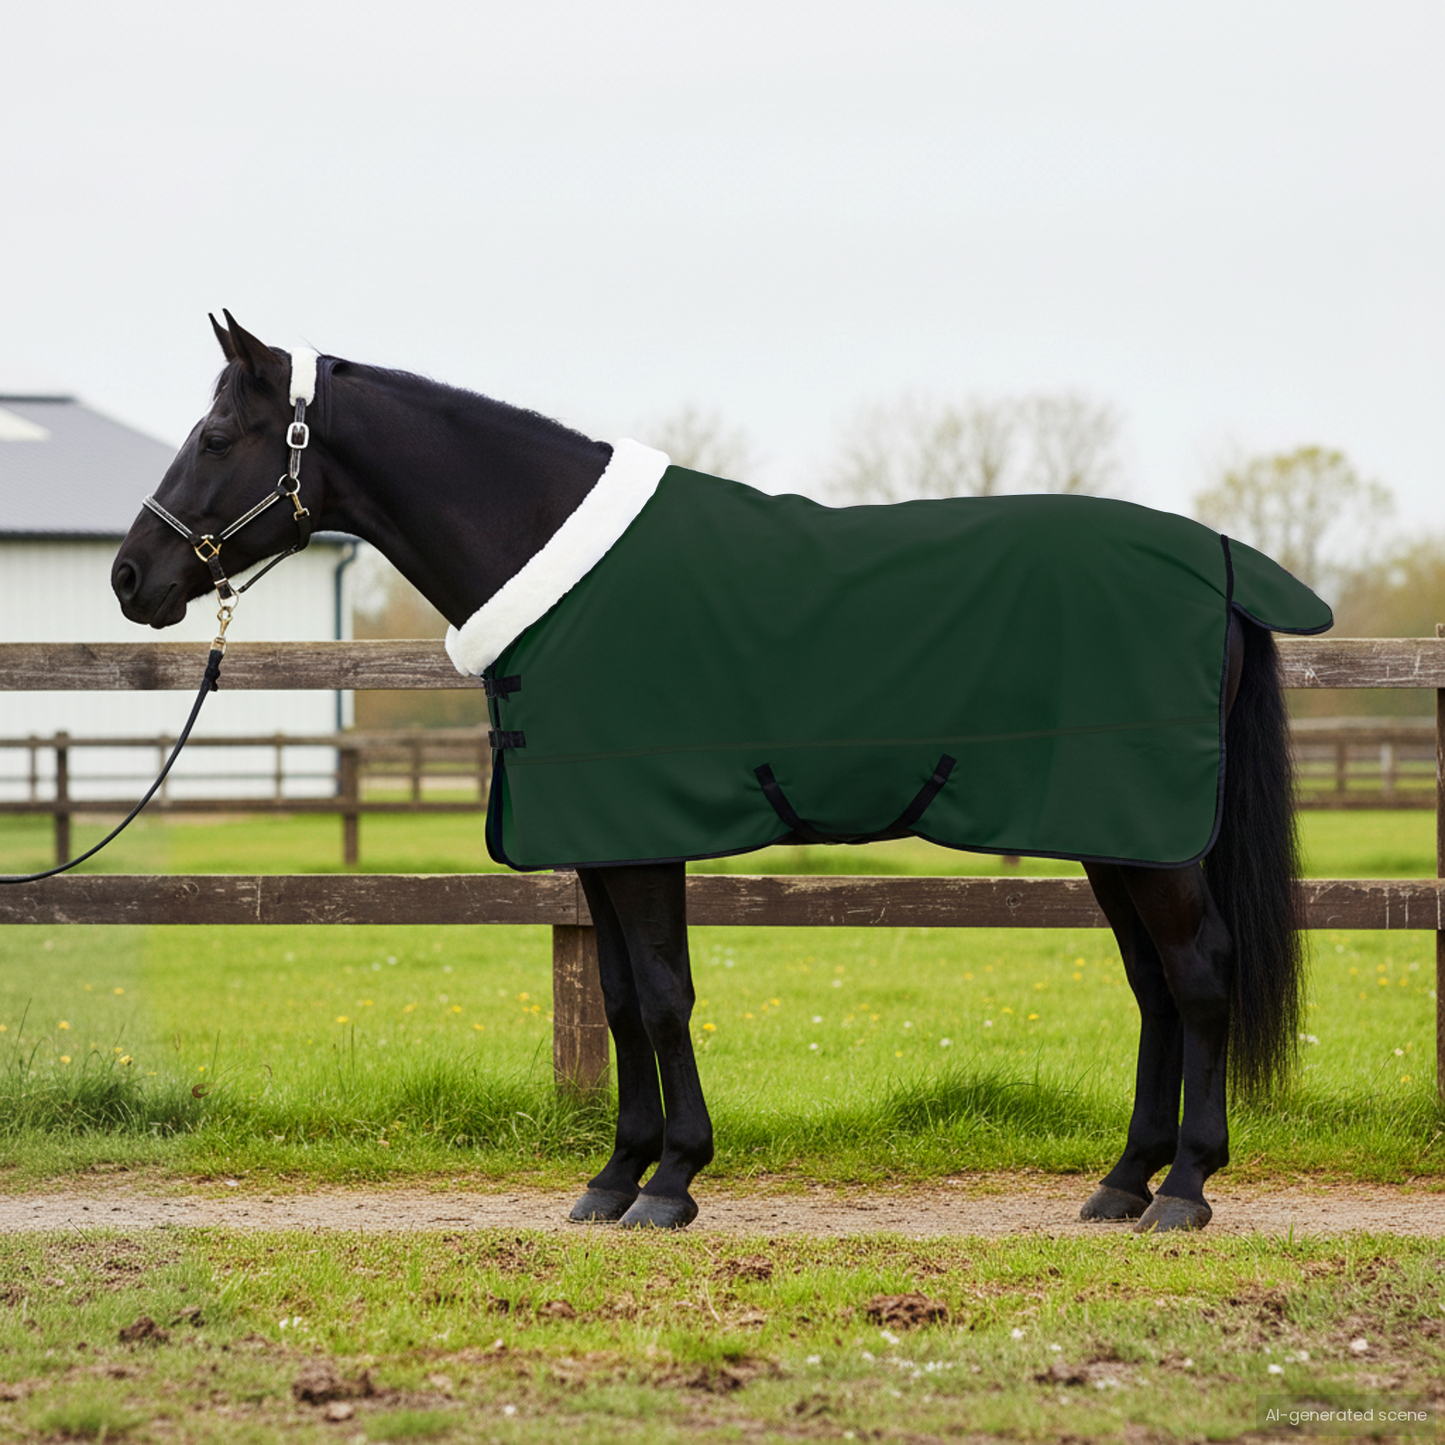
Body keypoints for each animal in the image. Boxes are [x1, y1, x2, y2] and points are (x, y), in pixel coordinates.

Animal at [112, 313, 1312, 1234]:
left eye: (215, 433)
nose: (131, 576)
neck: (555, 566)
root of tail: (1218, 562)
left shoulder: (640, 835)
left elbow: (660, 995)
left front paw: (672, 1180)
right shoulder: (597, 842)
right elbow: (616, 1002)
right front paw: (615, 1175)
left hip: (1149, 837)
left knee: (1198, 971)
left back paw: (1184, 1188)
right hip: (1117, 832)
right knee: (1154, 986)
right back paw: (1120, 1183)